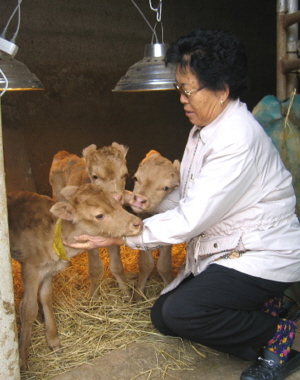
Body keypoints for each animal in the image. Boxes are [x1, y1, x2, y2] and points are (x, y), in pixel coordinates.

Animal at [8, 183, 142, 368]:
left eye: (115, 202)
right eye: (99, 215)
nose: (137, 223)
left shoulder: (49, 269)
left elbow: (46, 297)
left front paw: (53, 340)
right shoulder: (31, 268)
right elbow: (28, 309)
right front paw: (22, 360)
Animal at [48, 142, 129, 296]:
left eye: (124, 175)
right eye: (95, 176)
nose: (116, 198)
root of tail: (63, 154)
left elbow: (117, 266)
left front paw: (126, 293)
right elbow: (95, 268)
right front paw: (93, 296)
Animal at [129, 150, 180, 302]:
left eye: (166, 188)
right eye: (136, 178)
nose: (139, 200)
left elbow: (164, 265)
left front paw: (169, 285)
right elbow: (146, 264)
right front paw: (138, 296)